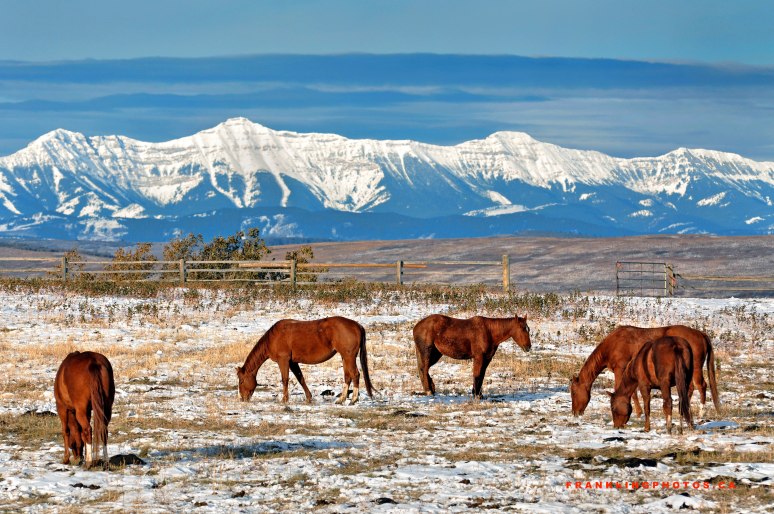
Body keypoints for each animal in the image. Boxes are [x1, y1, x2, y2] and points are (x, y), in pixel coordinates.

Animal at [236, 316, 374, 405]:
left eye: (241, 381)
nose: (242, 398)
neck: (273, 337)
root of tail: (357, 325)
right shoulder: (293, 362)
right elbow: (300, 378)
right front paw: (308, 398)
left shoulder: (283, 360)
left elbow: (285, 379)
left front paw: (284, 400)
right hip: (345, 357)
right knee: (347, 376)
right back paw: (341, 400)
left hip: (349, 356)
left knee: (355, 374)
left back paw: (353, 399)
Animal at [570, 325, 719, 417]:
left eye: (573, 392)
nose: (575, 413)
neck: (613, 344)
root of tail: (701, 334)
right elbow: (634, 392)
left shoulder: (620, 369)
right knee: (690, 388)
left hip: (696, 368)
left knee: (701, 386)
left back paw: (701, 413)